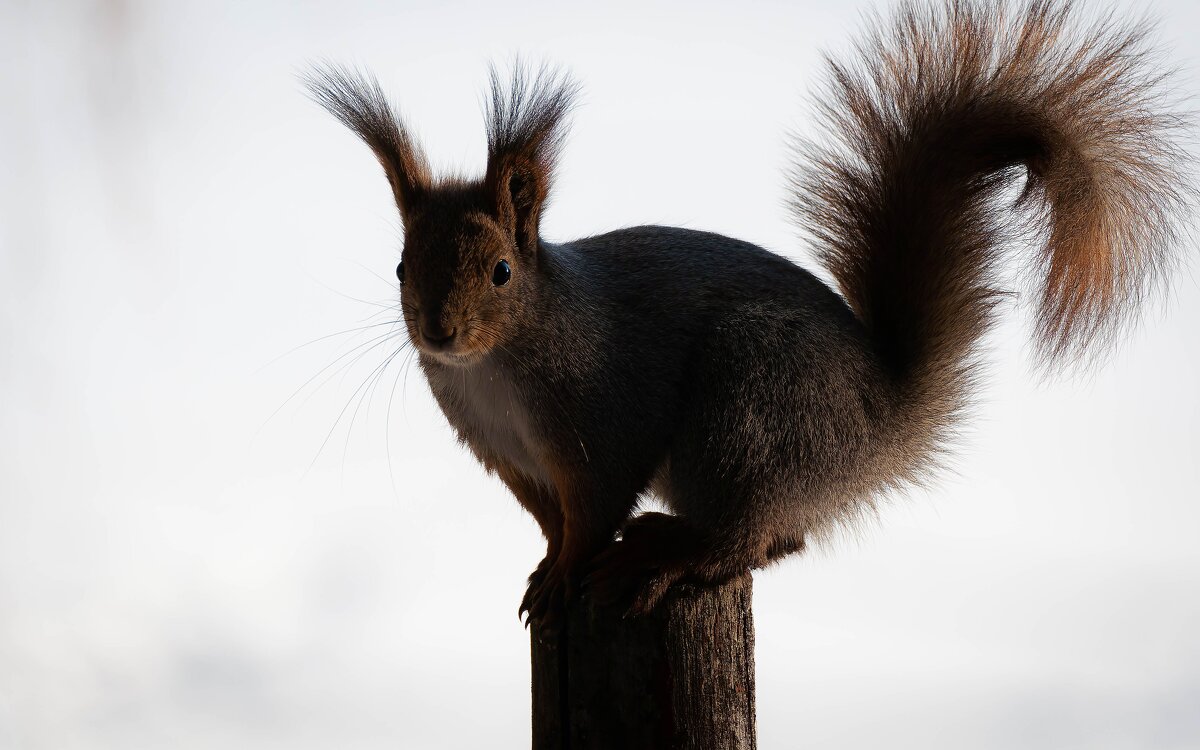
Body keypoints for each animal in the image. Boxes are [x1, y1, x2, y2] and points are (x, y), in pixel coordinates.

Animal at [307, 0, 1190, 633]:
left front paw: (568, 575)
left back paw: (669, 556)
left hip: (746, 418)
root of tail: (880, 427)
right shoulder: (511, 457)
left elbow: (593, 516)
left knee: (745, 539)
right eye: (400, 267)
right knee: (782, 538)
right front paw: (545, 572)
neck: (494, 368)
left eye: (500, 271)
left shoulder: (602, 420)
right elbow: (555, 524)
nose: (439, 331)